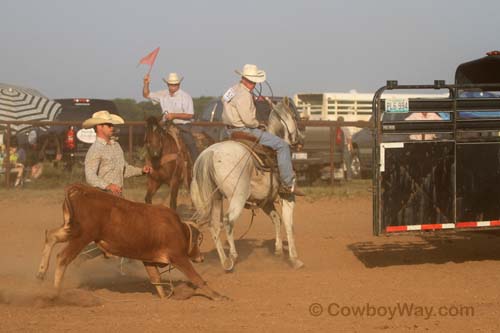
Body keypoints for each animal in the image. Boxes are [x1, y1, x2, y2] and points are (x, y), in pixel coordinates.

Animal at [35, 183, 223, 300]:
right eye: (197, 241)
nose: (201, 258)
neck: (177, 228)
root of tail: (80, 190)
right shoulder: (179, 258)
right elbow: (196, 277)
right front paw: (218, 295)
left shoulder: (149, 260)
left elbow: (156, 279)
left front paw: (165, 297)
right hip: (81, 236)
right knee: (62, 257)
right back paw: (55, 293)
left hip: (71, 228)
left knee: (50, 236)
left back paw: (41, 273)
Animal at [189, 98, 304, 270]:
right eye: (295, 117)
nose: (300, 139)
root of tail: (210, 153)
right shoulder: (288, 197)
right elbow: (289, 224)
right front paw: (294, 259)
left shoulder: (265, 202)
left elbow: (276, 219)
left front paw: (278, 250)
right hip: (238, 196)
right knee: (228, 221)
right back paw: (233, 256)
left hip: (213, 198)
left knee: (214, 225)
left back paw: (225, 262)